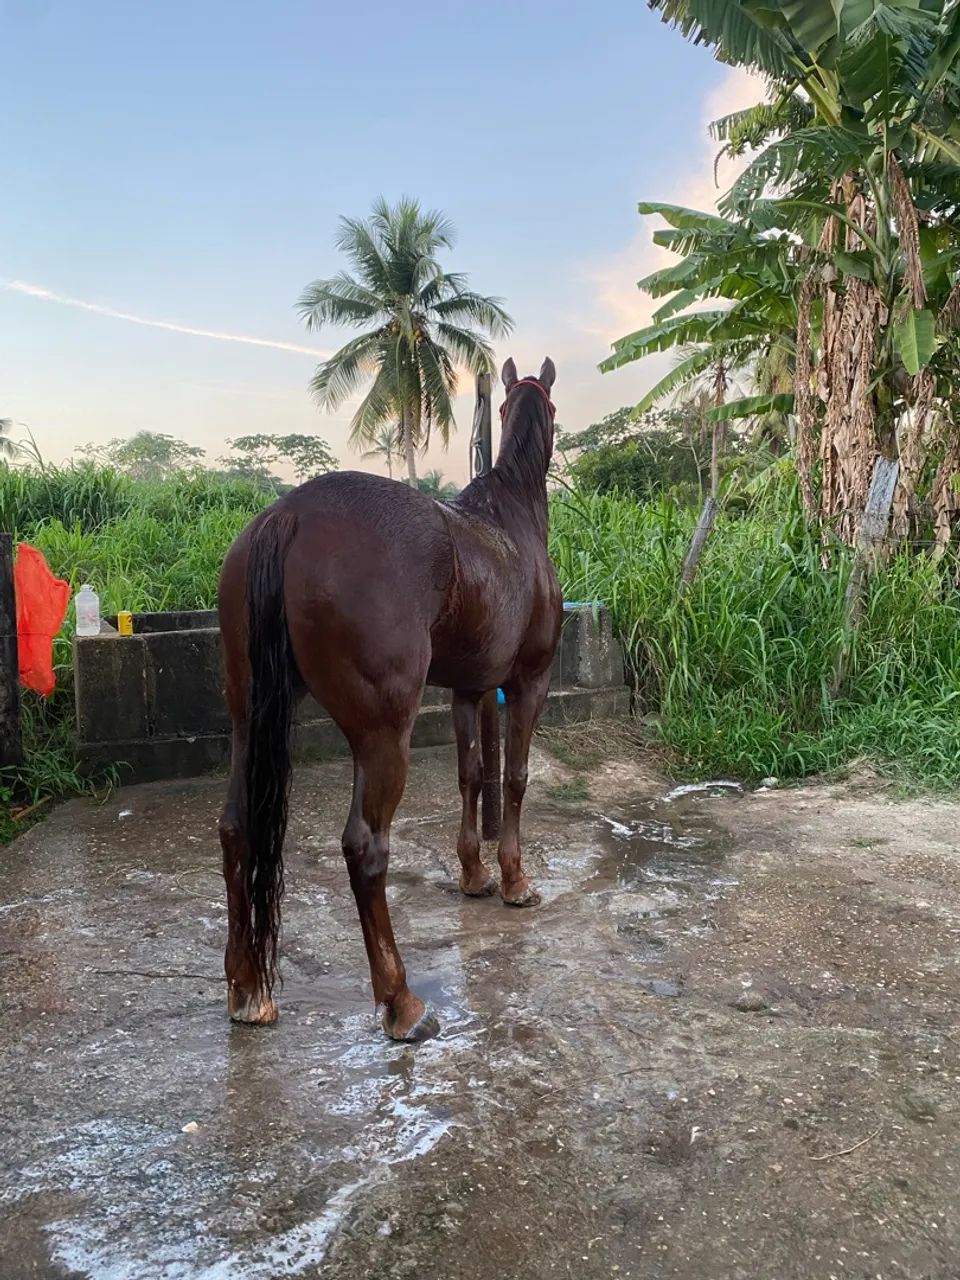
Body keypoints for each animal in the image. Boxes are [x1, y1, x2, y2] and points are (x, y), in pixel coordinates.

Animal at [216, 357, 562, 1041]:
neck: (510, 524)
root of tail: (287, 515)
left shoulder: (469, 690)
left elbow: (471, 775)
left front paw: (474, 875)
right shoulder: (526, 682)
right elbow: (513, 779)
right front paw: (514, 880)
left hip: (248, 717)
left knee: (237, 826)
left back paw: (248, 990)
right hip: (382, 735)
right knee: (365, 847)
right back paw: (401, 1002)